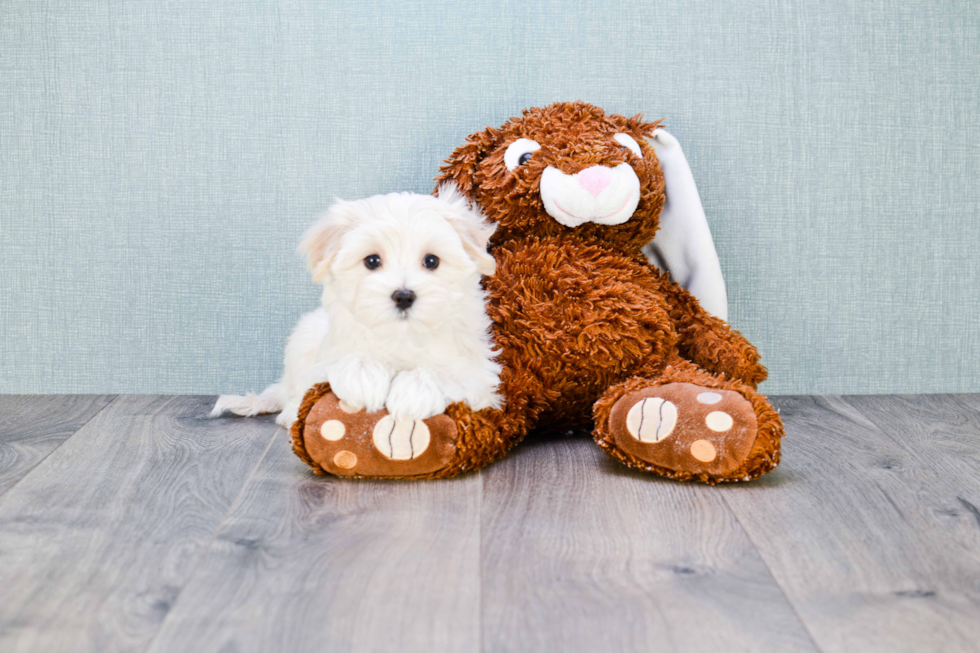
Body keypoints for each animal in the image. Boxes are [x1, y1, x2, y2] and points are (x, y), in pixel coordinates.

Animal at [211, 183, 502, 428]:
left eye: (432, 261)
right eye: (372, 261)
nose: (403, 296)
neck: (401, 336)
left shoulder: (479, 374)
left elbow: (448, 371)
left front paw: (412, 394)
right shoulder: (330, 353)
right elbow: (344, 362)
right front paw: (364, 380)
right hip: (302, 340)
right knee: (294, 392)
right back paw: (291, 413)